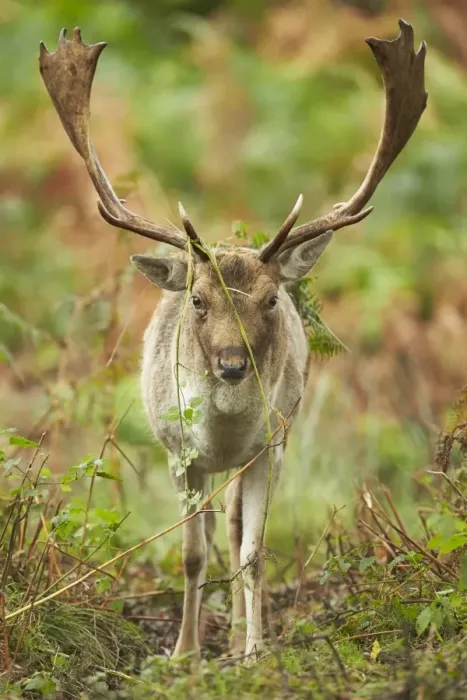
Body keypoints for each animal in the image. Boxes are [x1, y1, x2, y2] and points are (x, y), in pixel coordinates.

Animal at [39, 19, 427, 660]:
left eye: (270, 300)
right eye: (198, 299)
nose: (230, 365)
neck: (218, 432)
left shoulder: (271, 447)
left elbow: (252, 553)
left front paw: (252, 652)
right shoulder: (179, 452)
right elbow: (192, 553)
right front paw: (184, 653)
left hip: (265, 449)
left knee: (240, 529)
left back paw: (245, 635)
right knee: (216, 529)